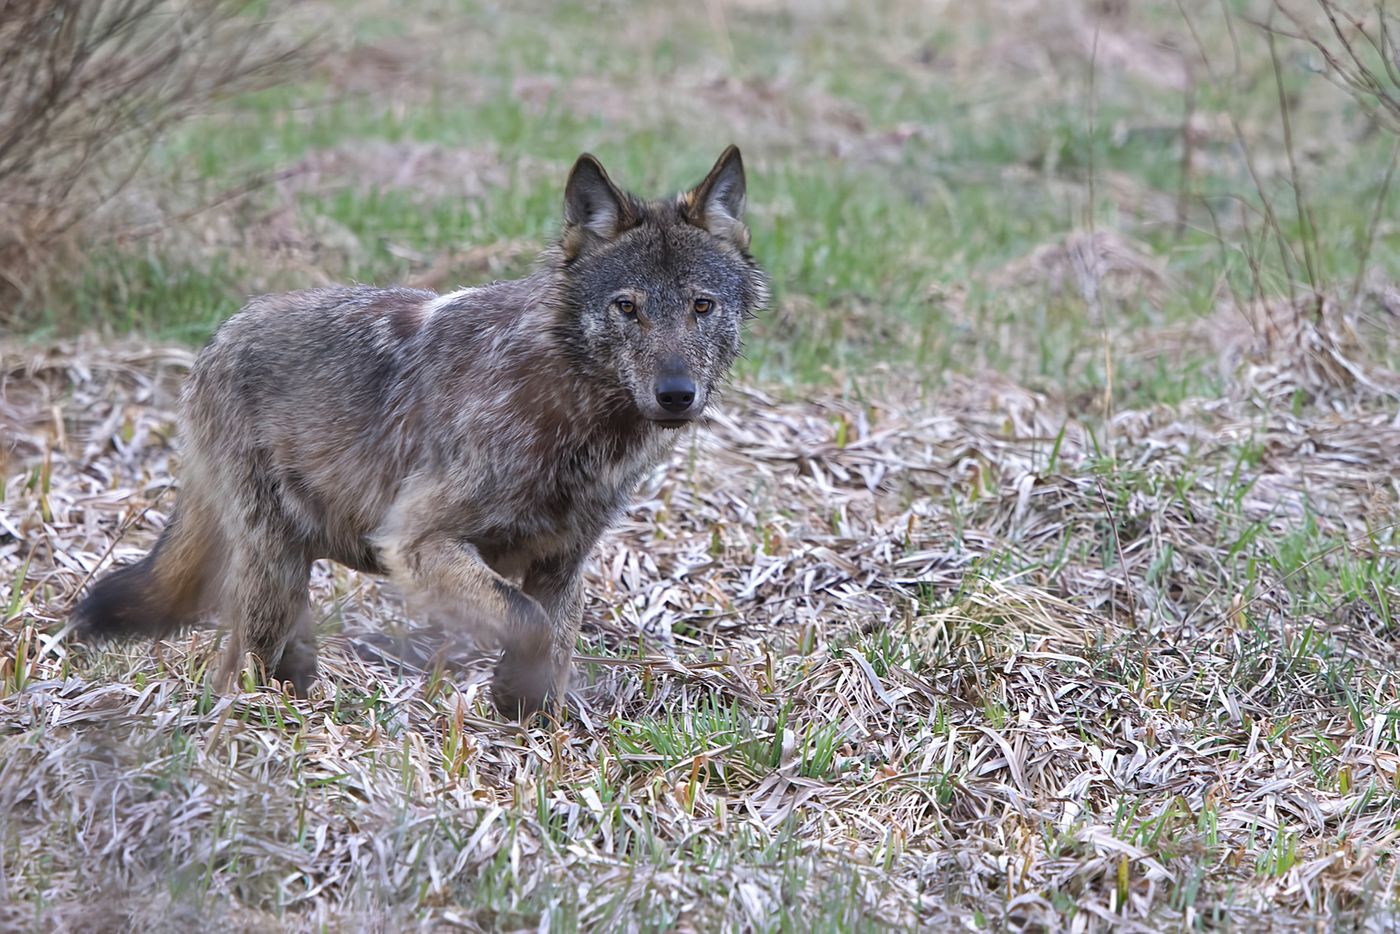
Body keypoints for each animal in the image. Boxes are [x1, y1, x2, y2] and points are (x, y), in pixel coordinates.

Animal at [74, 146, 768, 718]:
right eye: (627, 307)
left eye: (701, 306)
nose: (676, 395)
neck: (569, 413)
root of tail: (220, 335)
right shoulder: (416, 542)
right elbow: (528, 622)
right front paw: (509, 695)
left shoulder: (563, 564)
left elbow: (553, 643)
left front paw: (528, 721)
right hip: (274, 574)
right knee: (242, 664)